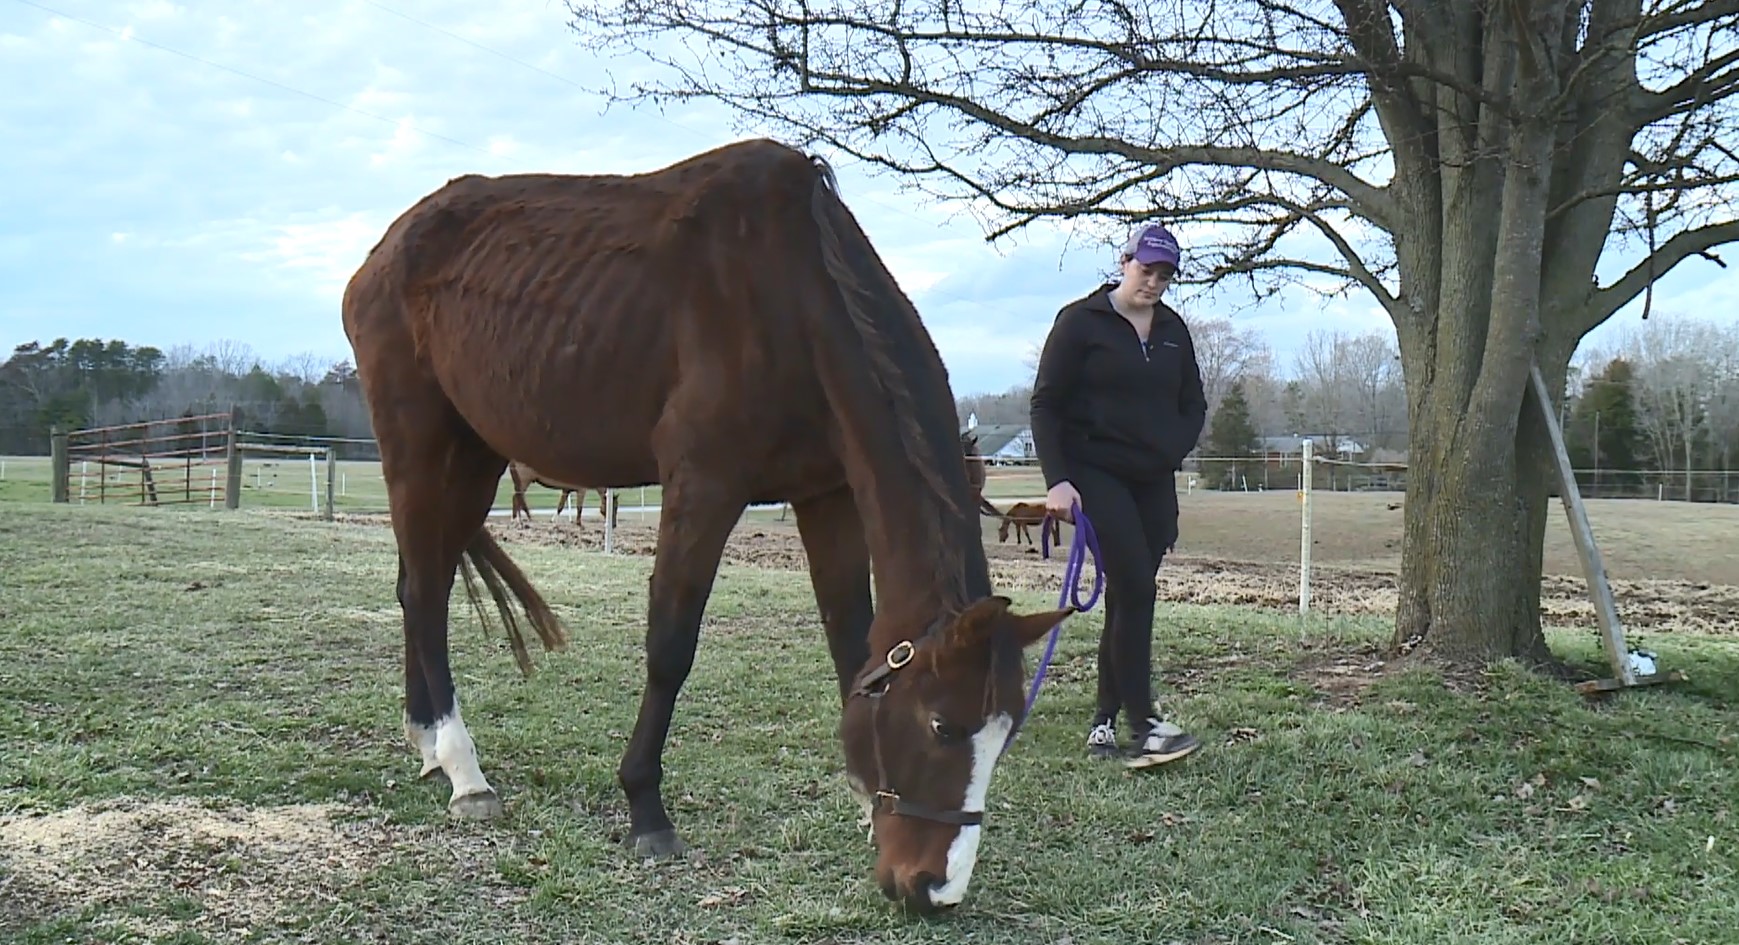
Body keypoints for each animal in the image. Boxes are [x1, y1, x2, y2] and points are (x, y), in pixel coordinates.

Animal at [340, 138, 1073, 913]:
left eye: (1004, 736)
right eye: (941, 725)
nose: (934, 890)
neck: (795, 298)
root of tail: (383, 254)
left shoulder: (827, 495)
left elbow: (850, 646)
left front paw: (863, 801)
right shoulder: (703, 485)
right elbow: (671, 646)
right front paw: (645, 807)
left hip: (476, 453)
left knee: (422, 584)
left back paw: (426, 740)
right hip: (419, 443)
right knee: (424, 592)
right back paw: (462, 768)